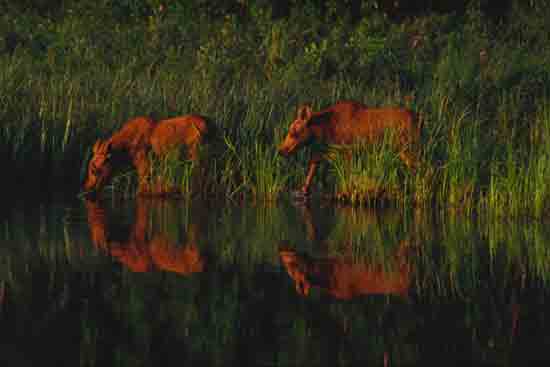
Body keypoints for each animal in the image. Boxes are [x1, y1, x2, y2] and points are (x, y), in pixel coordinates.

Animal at [280, 99, 422, 194]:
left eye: (293, 132)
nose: (281, 150)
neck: (324, 130)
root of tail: (419, 119)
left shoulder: (348, 152)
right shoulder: (324, 151)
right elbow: (312, 170)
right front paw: (303, 190)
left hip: (407, 148)